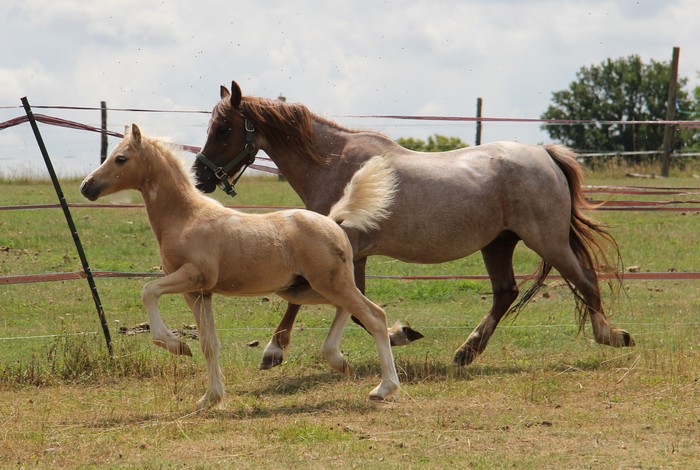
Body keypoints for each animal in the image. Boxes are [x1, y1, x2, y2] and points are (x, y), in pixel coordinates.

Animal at [80, 124, 400, 408]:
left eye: (121, 158)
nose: (86, 187)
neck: (186, 217)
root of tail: (334, 221)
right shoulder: (198, 292)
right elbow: (209, 344)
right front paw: (210, 398)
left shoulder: (193, 276)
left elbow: (149, 291)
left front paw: (176, 346)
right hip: (303, 289)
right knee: (349, 309)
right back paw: (338, 359)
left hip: (329, 283)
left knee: (374, 316)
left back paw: (384, 388)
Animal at [193, 81, 636, 370]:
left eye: (225, 128)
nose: (200, 176)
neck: (336, 166)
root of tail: (545, 154)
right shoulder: (351, 256)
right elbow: (351, 308)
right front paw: (398, 333)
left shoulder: (336, 252)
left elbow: (311, 302)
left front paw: (274, 351)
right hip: (499, 243)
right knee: (506, 293)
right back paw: (466, 352)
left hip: (546, 240)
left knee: (585, 280)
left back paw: (612, 335)